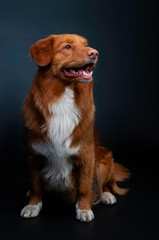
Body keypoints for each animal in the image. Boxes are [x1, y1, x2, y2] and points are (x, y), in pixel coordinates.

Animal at [20, 33, 130, 221]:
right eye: (67, 47)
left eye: (86, 45)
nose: (94, 53)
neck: (63, 97)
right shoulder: (35, 154)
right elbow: (36, 185)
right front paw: (32, 205)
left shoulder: (85, 155)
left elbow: (84, 187)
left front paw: (84, 209)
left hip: (104, 159)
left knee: (105, 185)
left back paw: (107, 195)